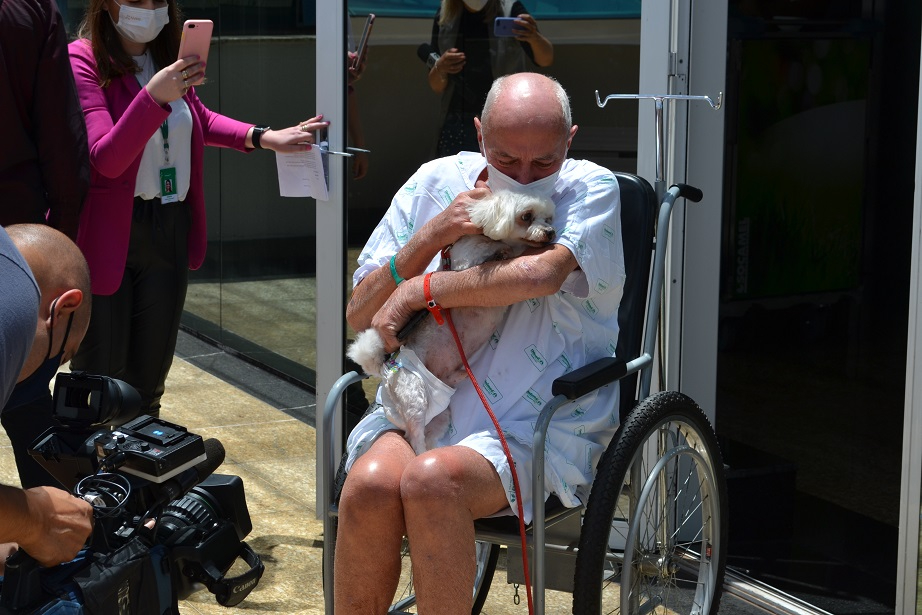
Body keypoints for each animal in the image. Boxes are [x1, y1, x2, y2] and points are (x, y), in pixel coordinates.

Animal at [350, 190, 552, 454]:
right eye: (526, 216)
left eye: (549, 218)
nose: (551, 232)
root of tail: (385, 372)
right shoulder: (466, 261)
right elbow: (494, 248)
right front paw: (501, 250)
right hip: (414, 395)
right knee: (414, 439)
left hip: (441, 416)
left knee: (427, 435)